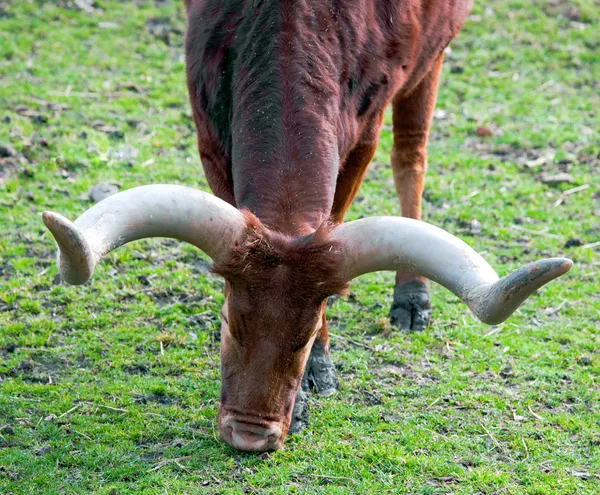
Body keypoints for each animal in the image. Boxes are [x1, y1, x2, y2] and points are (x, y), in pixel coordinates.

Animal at [43, 0, 572, 452]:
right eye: (227, 321)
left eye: (307, 332)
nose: (249, 436)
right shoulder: (209, 135)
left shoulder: (362, 136)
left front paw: (316, 376)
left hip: (432, 58)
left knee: (411, 155)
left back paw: (411, 298)